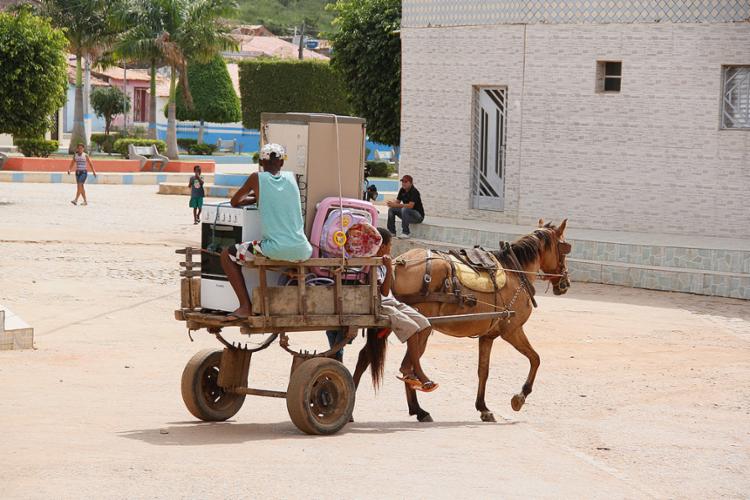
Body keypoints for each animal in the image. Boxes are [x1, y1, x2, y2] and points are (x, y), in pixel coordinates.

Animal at [356, 219, 572, 422]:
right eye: (564, 248)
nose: (566, 283)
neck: (514, 271)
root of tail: (398, 263)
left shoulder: (488, 336)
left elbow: (483, 370)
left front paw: (483, 407)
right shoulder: (512, 330)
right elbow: (535, 359)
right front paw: (520, 396)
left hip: (394, 321)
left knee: (368, 357)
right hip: (421, 327)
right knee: (407, 365)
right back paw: (419, 408)